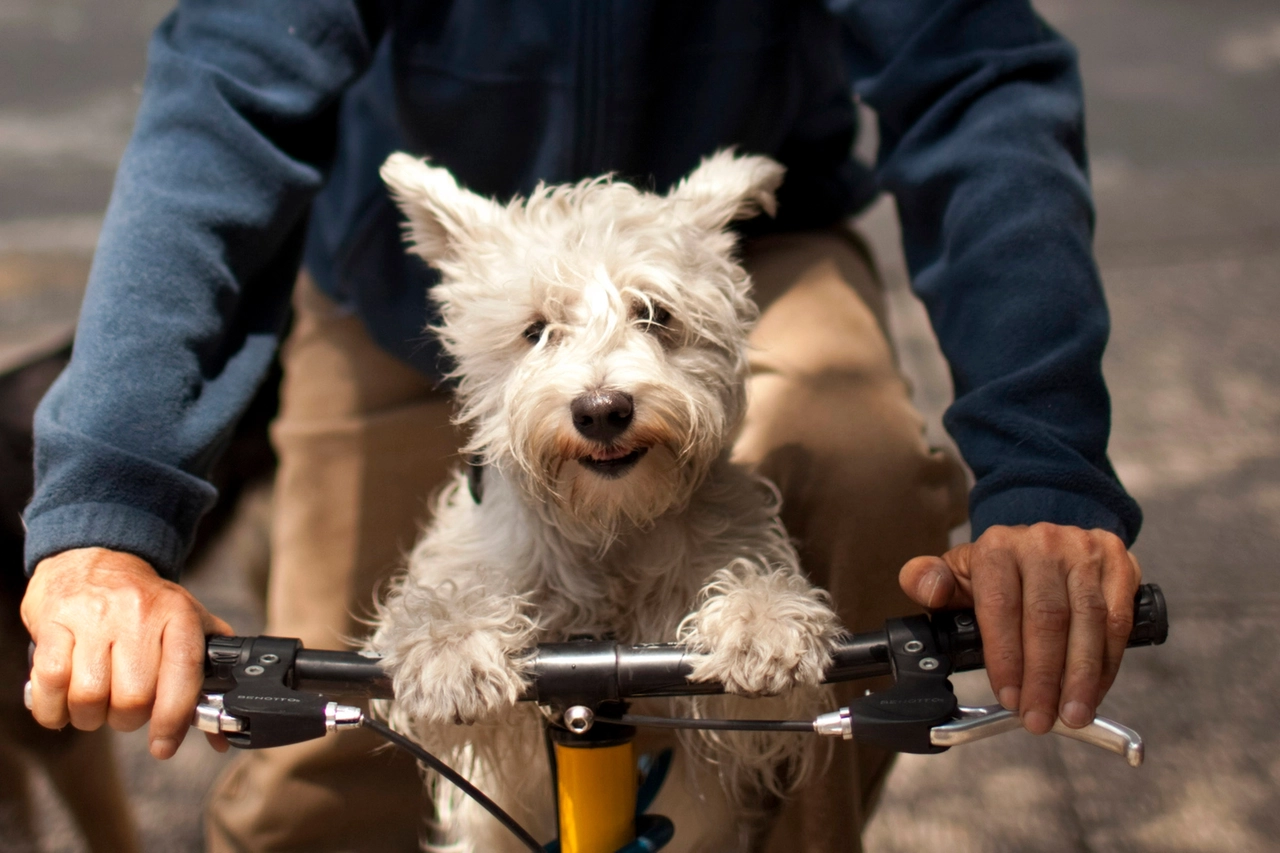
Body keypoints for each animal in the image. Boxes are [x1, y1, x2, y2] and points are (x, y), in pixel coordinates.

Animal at [371, 149, 844, 845]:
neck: (607, 526)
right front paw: (450, 651)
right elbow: (450, 619)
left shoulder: (732, 715)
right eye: (536, 330)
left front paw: (763, 623)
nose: (601, 410)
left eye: (655, 313)